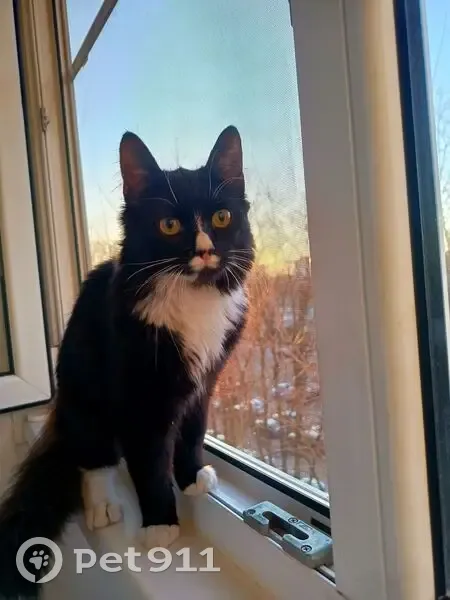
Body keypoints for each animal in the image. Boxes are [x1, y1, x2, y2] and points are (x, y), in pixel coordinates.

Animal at [0, 125, 254, 599]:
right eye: (169, 225)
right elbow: (149, 461)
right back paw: (103, 505)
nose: (204, 251)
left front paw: (192, 476)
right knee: (93, 457)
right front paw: (159, 524)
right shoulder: (139, 396)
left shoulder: (202, 383)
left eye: (221, 218)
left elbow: (191, 432)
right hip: (82, 396)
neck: (191, 298)